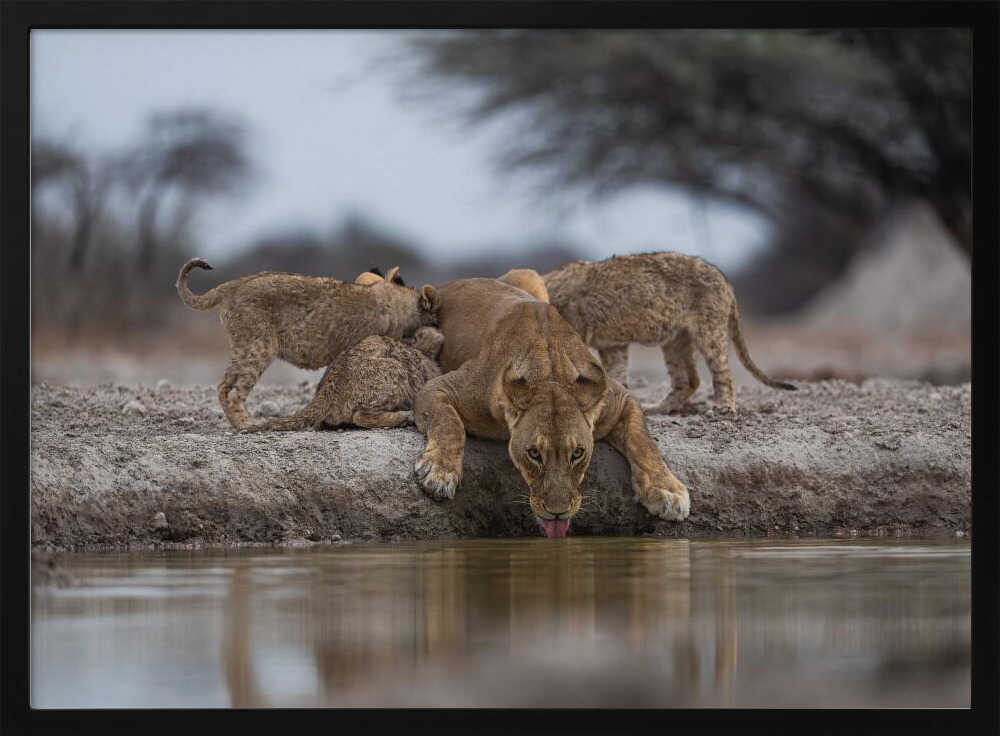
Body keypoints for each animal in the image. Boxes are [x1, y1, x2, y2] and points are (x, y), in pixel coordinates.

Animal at [412, 277, 689, 538]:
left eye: (577, 453)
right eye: (534, 453)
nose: (558, 512)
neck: (550, 374)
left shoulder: (620, 398)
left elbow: (643, 441)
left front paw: (668, 490)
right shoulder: (440, 386)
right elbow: (449, 424)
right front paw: (440, 472)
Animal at [542, 252, 796, 413]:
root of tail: (725, 280)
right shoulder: (612, 345)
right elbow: (616, 373)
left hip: (709, 331)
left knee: (722, 373)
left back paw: (724, 407)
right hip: (675, 340)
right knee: (689, 380)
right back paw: (659, 408)